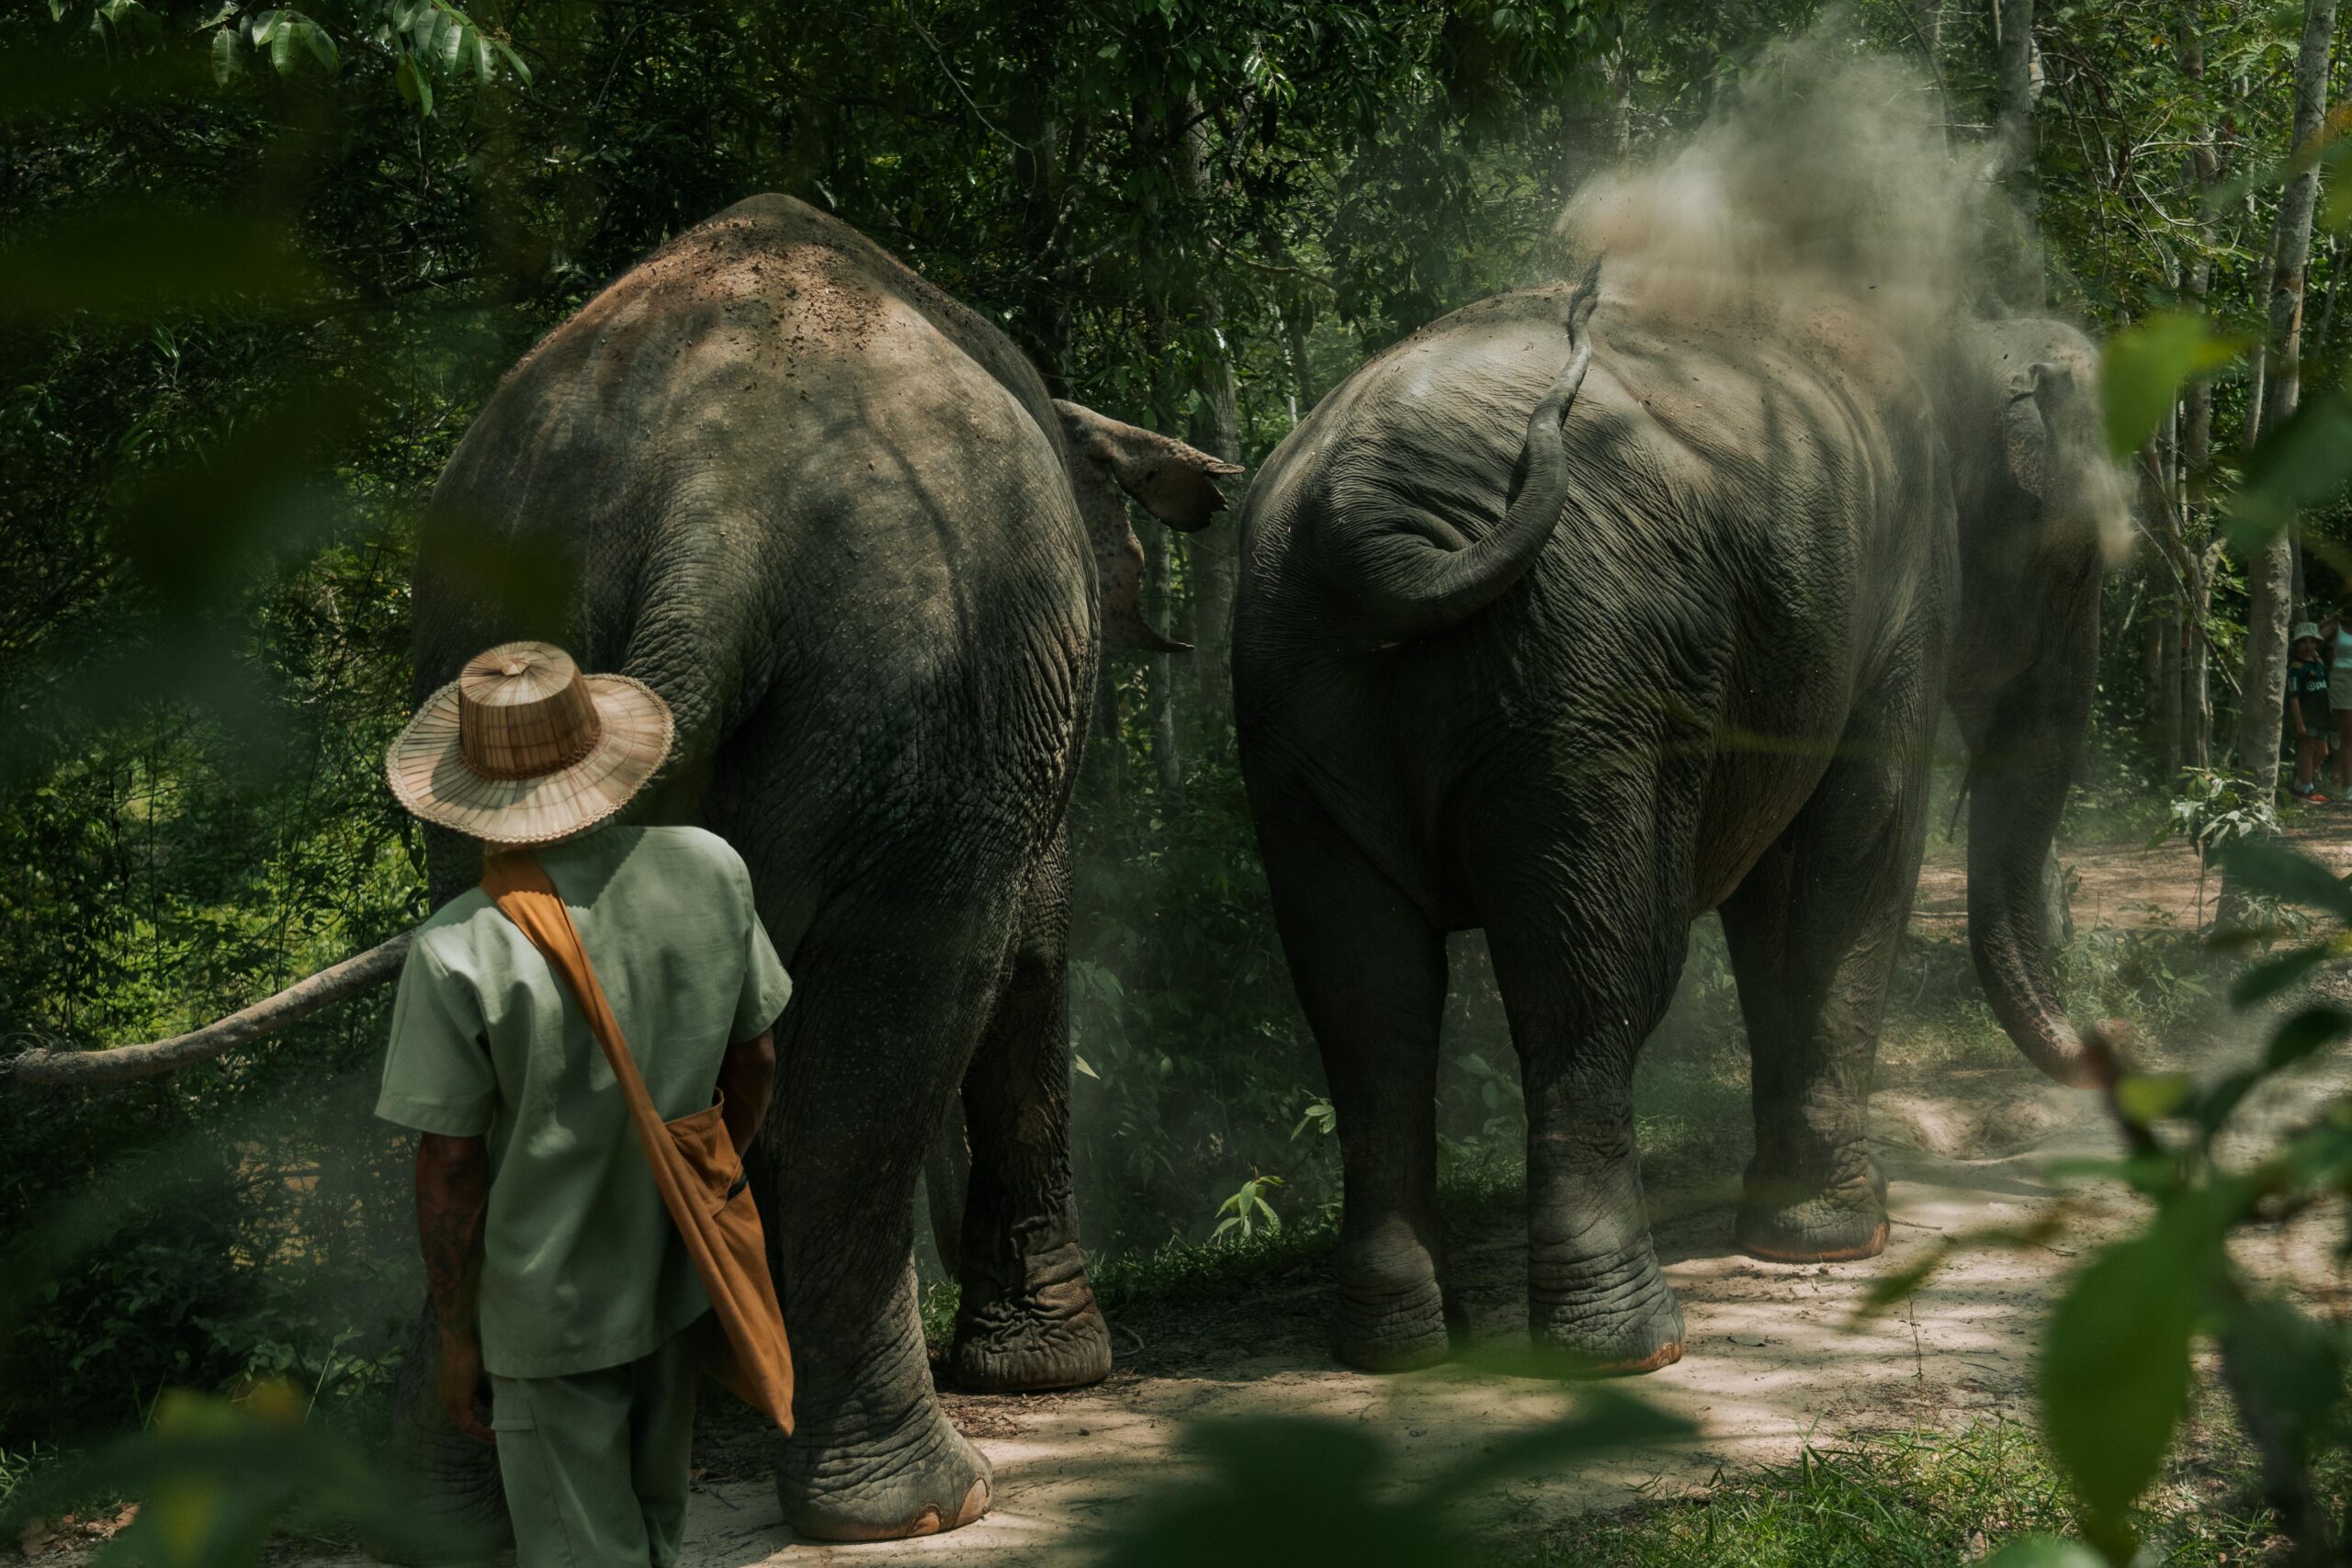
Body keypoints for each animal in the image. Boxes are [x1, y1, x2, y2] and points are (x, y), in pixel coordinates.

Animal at [113, 193, 1240, 1542]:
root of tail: (719, 498)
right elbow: (1031, 944)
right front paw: (1050, 1370)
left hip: (505, 623)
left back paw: (451, 1506)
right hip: (917, 685)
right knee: (900, 1009)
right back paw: (925, 1501)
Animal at [1230, 268, 2126, 1376]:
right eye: (2080, 562)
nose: (2116, 1045)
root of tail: (1369, 518)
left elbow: (1778, 891)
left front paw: (1793, 1222)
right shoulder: (1901, 597)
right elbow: (1857, 852)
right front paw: (1840, 1235)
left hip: (1298, 698)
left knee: (1366, 1005)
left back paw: (1398, 1346)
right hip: (1582, 678)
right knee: (1589, 986)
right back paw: (1630, 1343)